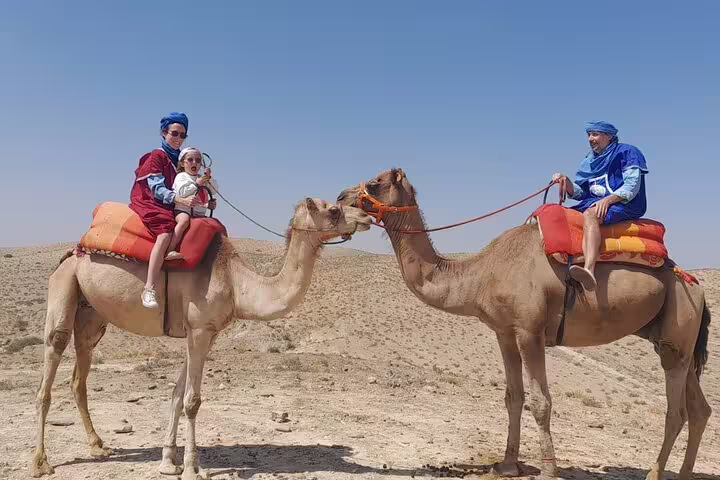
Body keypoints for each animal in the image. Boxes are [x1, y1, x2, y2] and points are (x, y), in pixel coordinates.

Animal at [31, 198, 372, 479]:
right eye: (333, 209)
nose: (366, 216)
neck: (236, 282)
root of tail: (74, 251)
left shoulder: (204, 332)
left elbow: (177, 394)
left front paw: (168, 462)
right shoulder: (199, 329)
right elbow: (192, 401)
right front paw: (192, 469)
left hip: (91, 315)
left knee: (80, 373)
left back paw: (99, 445)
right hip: (63, 285)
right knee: (51, 360)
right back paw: (41, 462)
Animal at [337, 169, 712, 480]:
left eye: (375, 182)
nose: (341, 197)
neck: (481, 275)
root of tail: (695, 285)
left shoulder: (530, 332)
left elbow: (541, 401)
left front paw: (548, 470)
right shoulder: (504, 332)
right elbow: (513, 397)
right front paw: (507, 464)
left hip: (678, 326)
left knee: (676, 411)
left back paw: (655, 473)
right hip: (674, 340)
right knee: (699, 409)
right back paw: (684, 473)